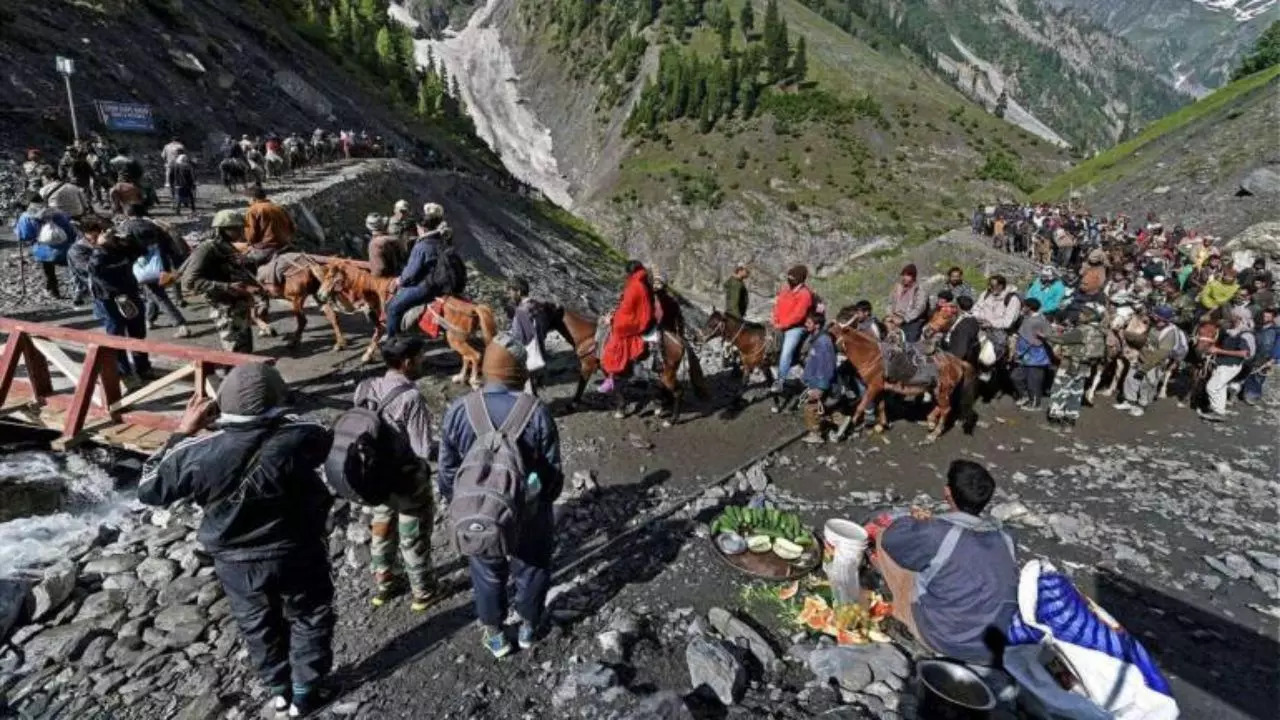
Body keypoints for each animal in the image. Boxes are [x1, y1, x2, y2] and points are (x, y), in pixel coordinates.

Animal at [542, 301, 711, 422]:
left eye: (545, 311)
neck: (588, 336)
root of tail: (679, 340)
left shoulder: (587, 365)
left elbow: (581, 386)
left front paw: (571, 405)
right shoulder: (606, 369)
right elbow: (616, 387)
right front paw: (621, 409)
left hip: (667, 373)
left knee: (678, 392)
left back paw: (671, 420)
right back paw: (659, 407)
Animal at [824, 324, 972, 438]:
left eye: (831, 335)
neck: (872, 357)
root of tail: (958, 362)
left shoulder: (873, 387)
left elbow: (862, 406)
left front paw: (850, 426)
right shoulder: (881, 388)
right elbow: (881, 406)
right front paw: (882, 425)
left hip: (942, 391)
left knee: (946, 409)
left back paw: (935, 433)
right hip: (936, 390)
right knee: (941, 407)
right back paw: (930, 421)